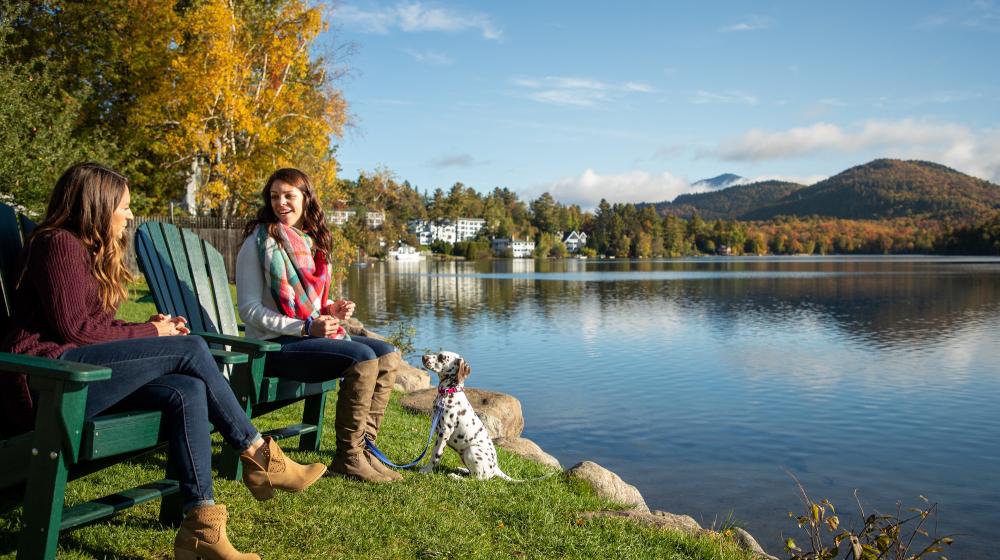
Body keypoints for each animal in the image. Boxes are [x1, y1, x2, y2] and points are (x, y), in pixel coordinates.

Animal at [420, 352, 516, 480]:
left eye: (442, 357)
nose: (423, 357)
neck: (448, 393)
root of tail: (495, 468)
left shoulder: (445, 431)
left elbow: (435, 454)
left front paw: (427, 470)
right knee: (472, 473)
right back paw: (462, 469)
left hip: (470, 451)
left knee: (477, 479)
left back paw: (455, 477)